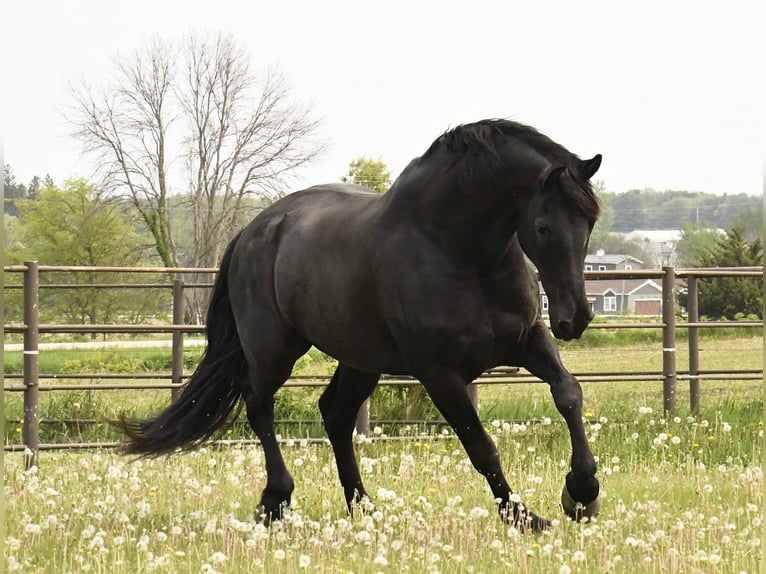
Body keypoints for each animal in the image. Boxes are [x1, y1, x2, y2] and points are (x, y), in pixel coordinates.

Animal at [117, 119, 604, 532]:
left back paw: (365, 508)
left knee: (335, 414)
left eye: (589, 223)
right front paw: (524, 517)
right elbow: (480, 444)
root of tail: (253, 231)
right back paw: (277, 500)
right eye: (542, 227)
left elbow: (568, 393)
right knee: (259, 405)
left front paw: (581, 493)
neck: (458, 251)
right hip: (273, 348)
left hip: (361, 359)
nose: (575, 317)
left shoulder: (526, 341)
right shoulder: (438, 372)